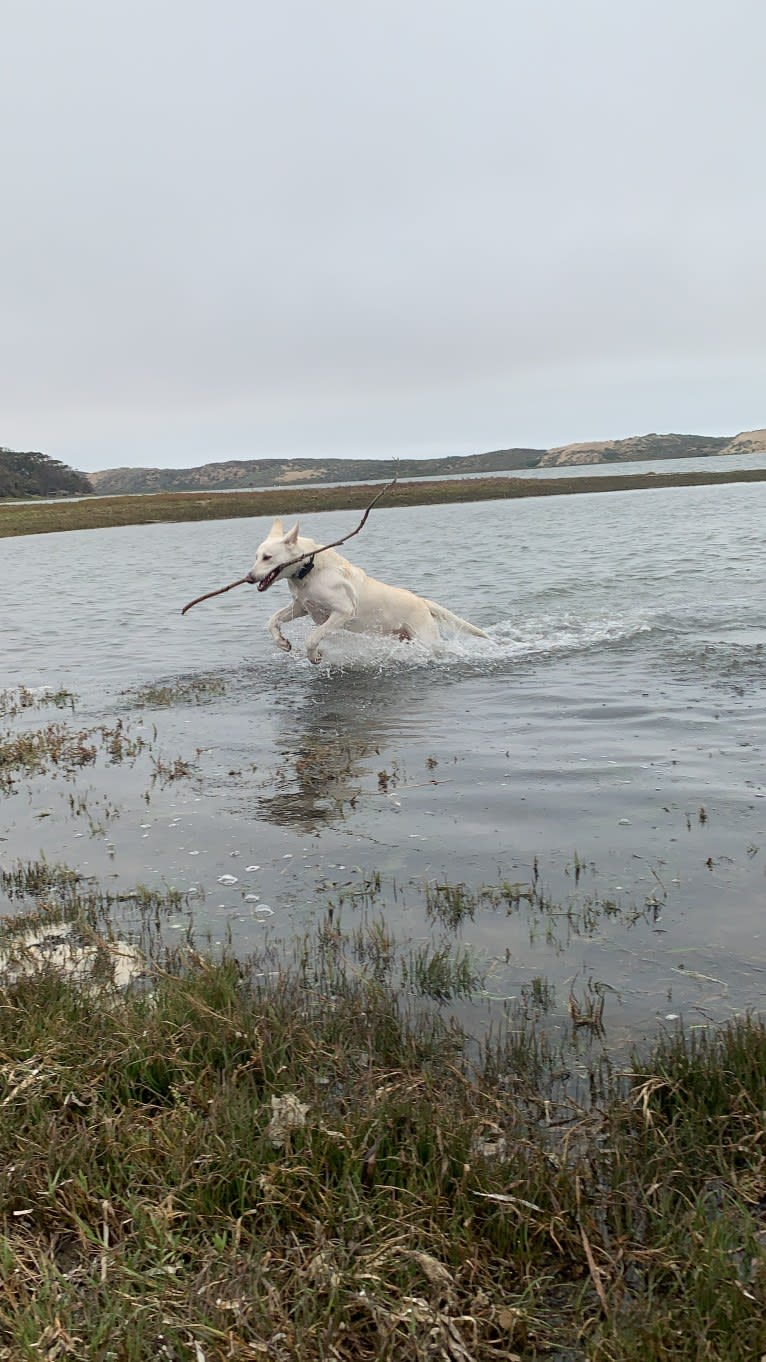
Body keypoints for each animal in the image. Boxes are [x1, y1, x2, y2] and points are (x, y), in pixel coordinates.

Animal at [249, 517, 487, 661]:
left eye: (267, 557)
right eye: (256, 556)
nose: (249, 577)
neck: (309, 569)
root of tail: (422, 601)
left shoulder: (343, 611)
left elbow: (313, 636)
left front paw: (314, 656)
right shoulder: (301, 607)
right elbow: (272, 620)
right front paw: (281, 642)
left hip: (425, 638)